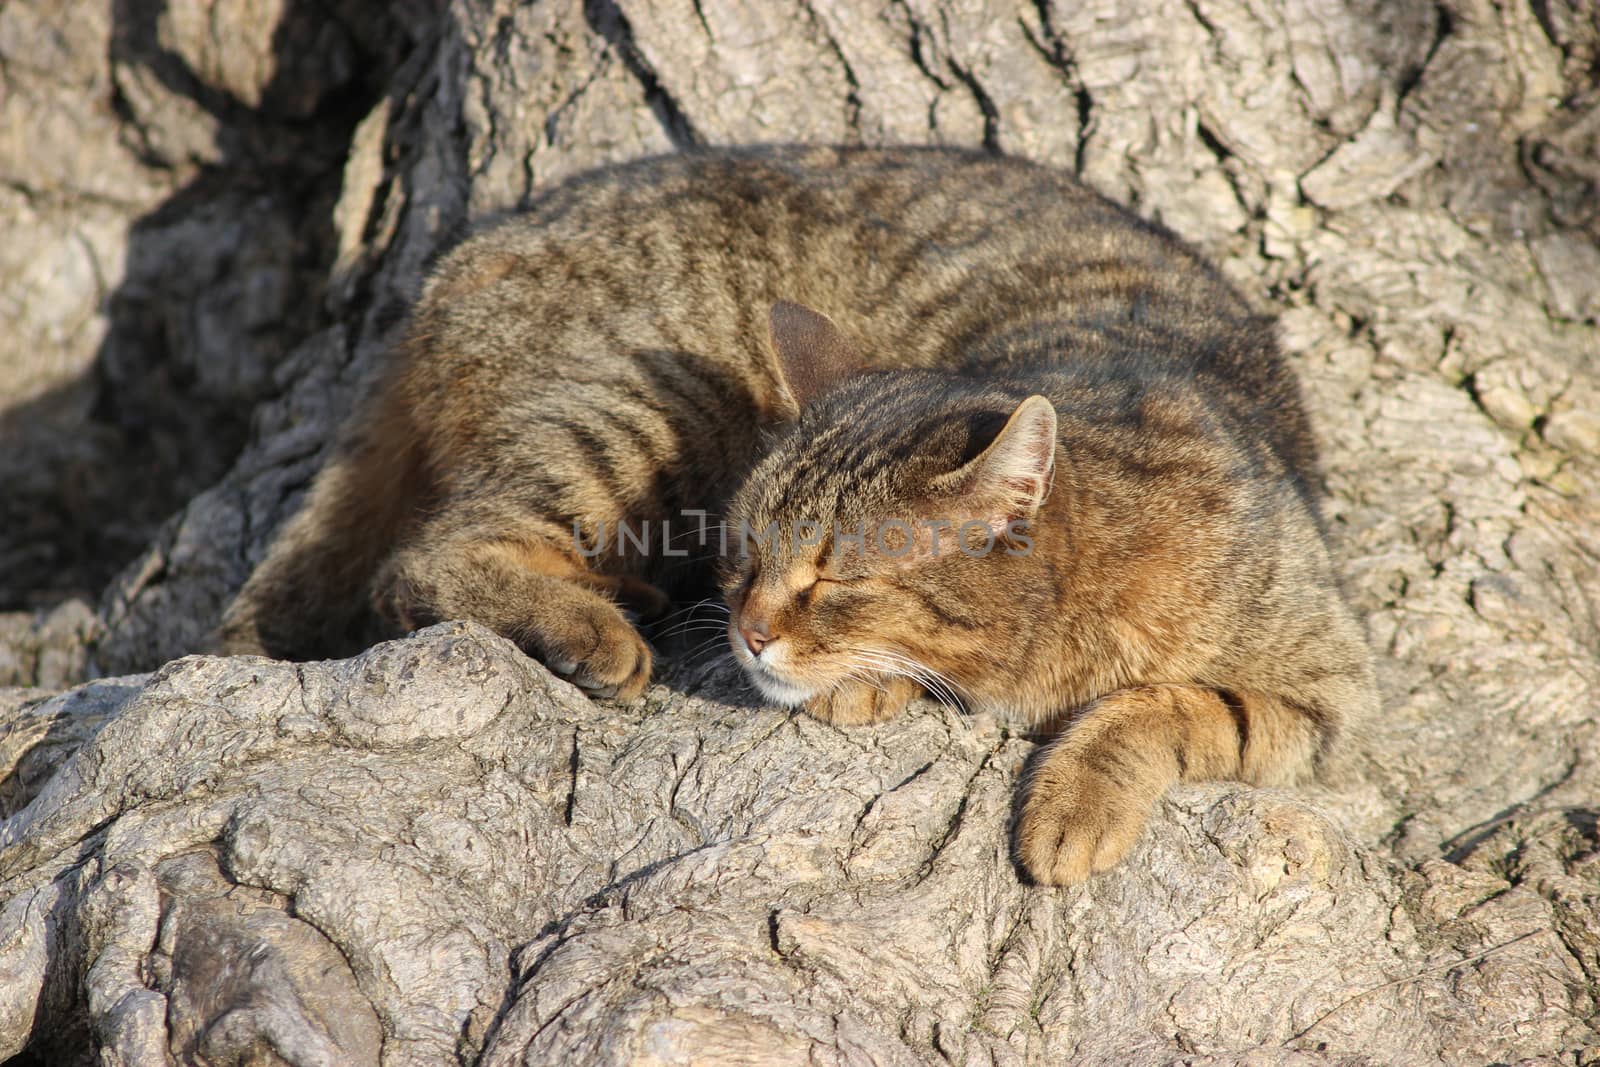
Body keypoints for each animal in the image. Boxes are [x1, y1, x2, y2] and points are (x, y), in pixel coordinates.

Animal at [219, 146, 1382, 889]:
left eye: (835, 579)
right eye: (744, 557)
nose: (744, 629)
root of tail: (450, 269)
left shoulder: (1325, 693)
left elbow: (1165, 707)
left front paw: (1075, 799)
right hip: (644, 410)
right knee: (424, 559)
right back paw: (590, 621)